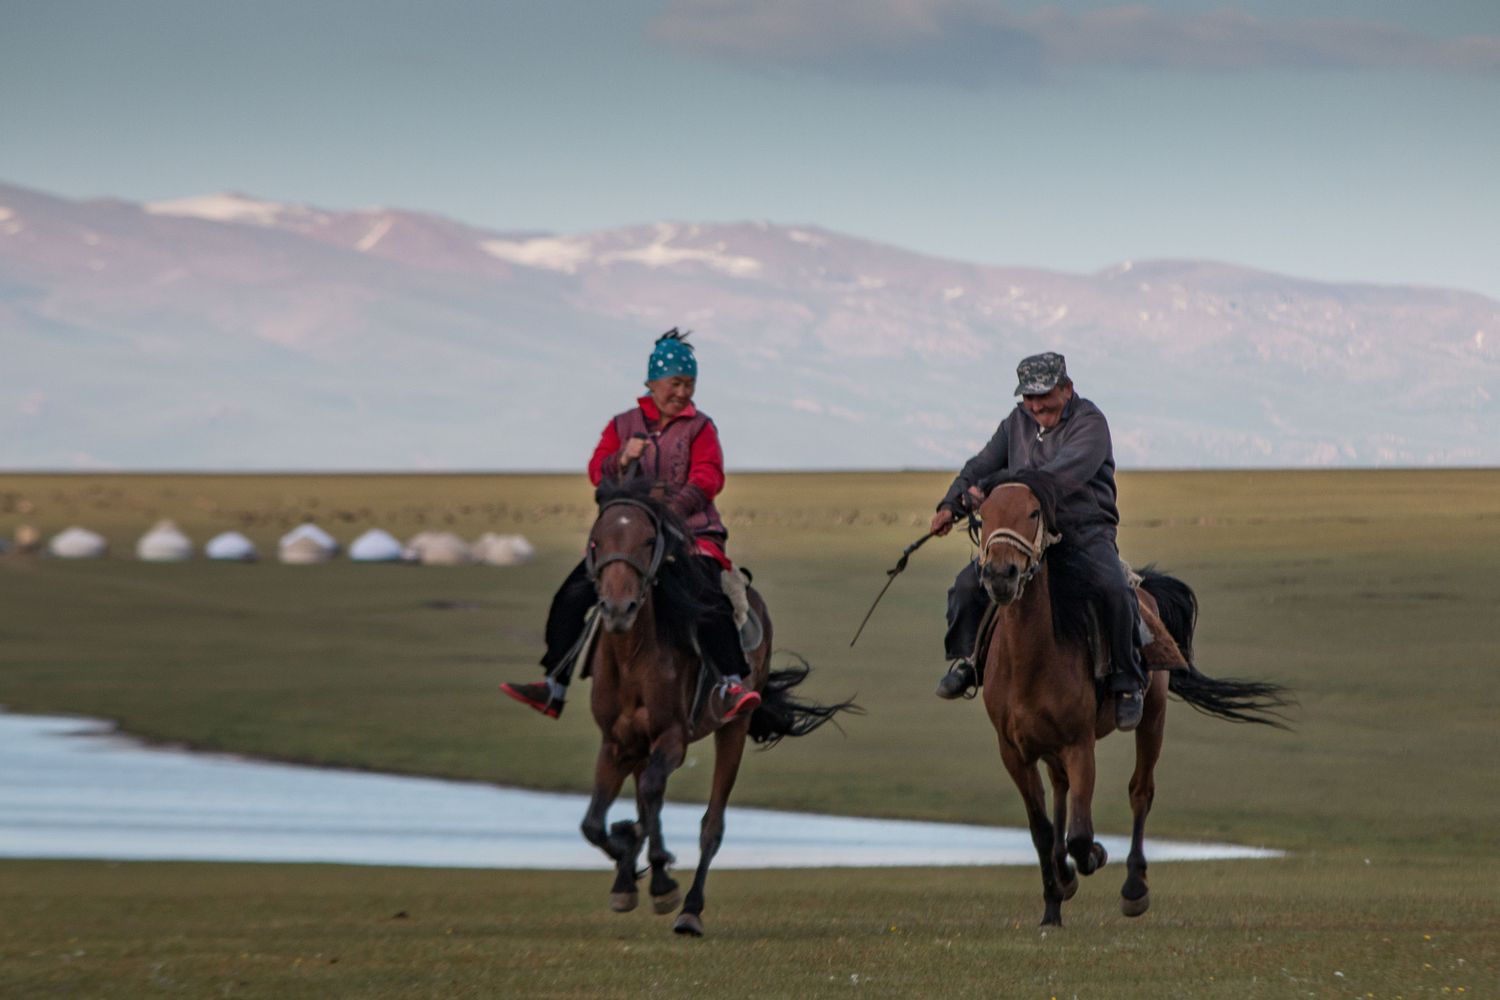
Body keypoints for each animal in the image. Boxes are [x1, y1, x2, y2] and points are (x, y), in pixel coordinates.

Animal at [576, 479, 852, 935]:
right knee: (643, 806)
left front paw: (662, 881)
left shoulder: (672, 738)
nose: (618, 609)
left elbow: (651, 794)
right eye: (596, 540)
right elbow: (595, 823)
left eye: (648, 540)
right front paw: (628, 870)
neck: (633, 656)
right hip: (640, 747)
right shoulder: (616, 744)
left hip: (733, 727)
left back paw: (690, 909)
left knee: (711, 824)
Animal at [972, 473, 1290, 929]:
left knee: (1140, 790)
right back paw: (1065, 882)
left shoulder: (1079, 743)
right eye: (982, 515)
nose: (1000, 574)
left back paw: (1134, 888)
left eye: (1033, 512)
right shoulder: (1013, 752)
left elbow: (1081, 834)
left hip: (1151, 716)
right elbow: (1042, 829)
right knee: (1061, 792)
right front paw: (1052, 905)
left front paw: (1093, 858)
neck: (1029, 660)